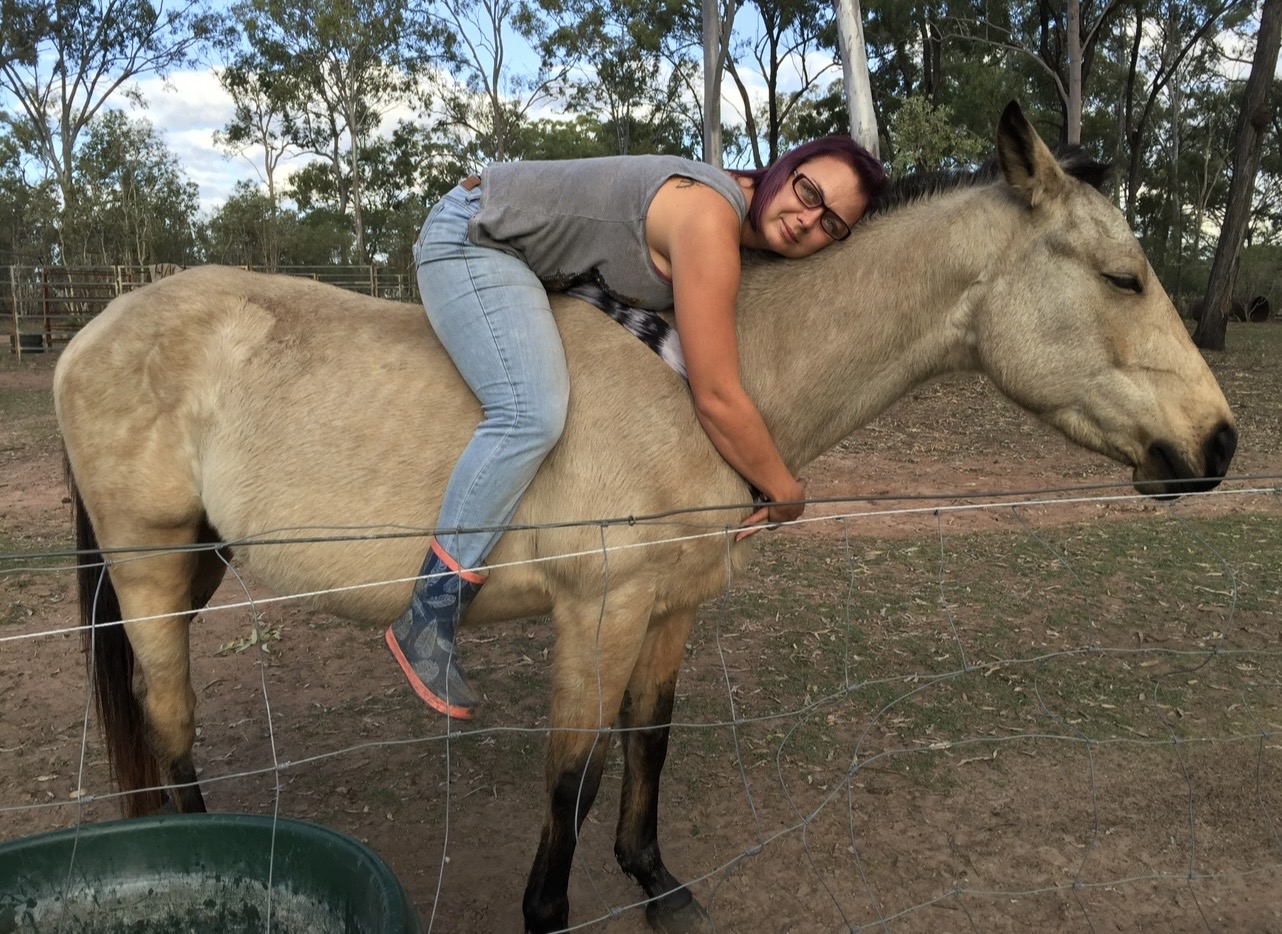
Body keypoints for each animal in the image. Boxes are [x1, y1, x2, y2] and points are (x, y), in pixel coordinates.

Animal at [54, 103, 1236, 933]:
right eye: (1124, 278)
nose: (1220, 444)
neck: (694, 382)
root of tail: (96, 325)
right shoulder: (600, 614)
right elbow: (570, 780)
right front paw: (548, 912)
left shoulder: (669, 609)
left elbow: (649, 743)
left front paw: (659, 883)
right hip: (150, 569)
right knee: (171, 725)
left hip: (193, 565)